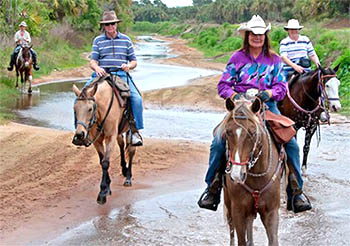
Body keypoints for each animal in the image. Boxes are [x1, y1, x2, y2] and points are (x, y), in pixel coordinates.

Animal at [221, 97, 284, 245]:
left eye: (253, 133)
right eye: (227, 132)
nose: (237, 175)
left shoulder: (271, 212)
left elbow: (273, 240)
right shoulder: (238, 210)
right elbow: (241, 240)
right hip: (228, 202)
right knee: (231, 228)